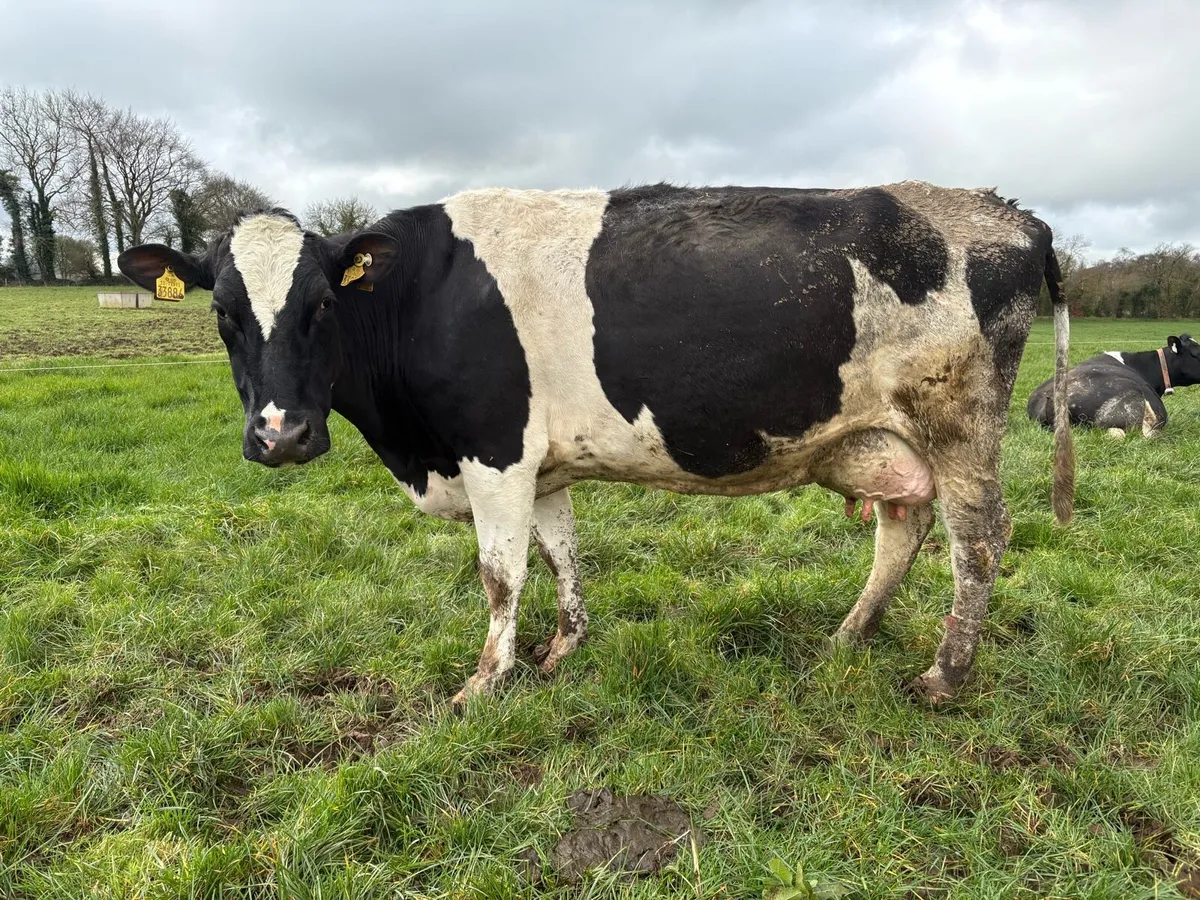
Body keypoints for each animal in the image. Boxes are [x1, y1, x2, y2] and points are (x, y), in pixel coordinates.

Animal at [117, 181, 1075, 707]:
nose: (280, 435)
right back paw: (850, 635)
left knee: (978, 541)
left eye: (320, 304)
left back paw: (945, 673)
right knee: (902, 527)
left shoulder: (494, 451)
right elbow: (562, 552)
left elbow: (500, 575)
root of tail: (1013, 215)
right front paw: (565, 647)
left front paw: (486, 681)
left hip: (959, 424)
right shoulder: (541, 467)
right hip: (887, 435)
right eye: (220, 314)